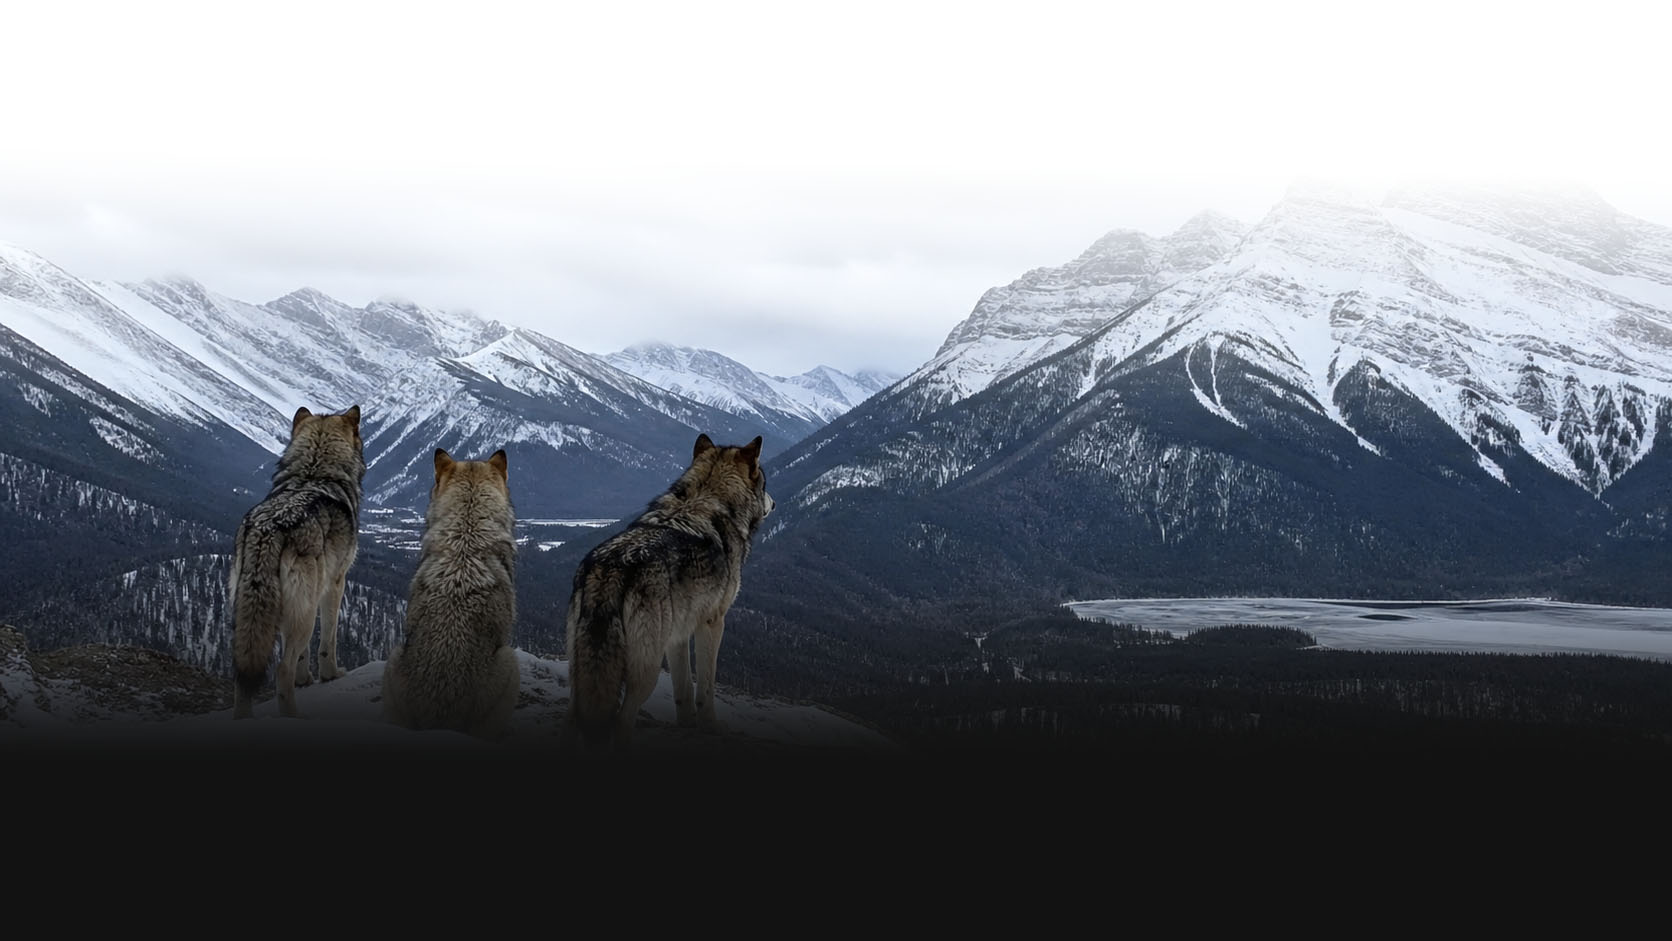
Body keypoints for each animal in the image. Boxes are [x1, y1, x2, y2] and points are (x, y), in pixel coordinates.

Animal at [230, 405, 365, 719]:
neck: (314, 473)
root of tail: (267, 531)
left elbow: (303, 658)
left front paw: (305, 681)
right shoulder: (336, 585)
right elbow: (328, 641)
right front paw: (330, 675)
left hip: (249, 615)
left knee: (243, 673)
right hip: (303, 614)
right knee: (281, 669)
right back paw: (293, 715)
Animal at [562, 433, 773, 751]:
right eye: (766, 484)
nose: (774, 502)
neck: (706, 498)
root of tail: (609, 571)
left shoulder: (678, 635)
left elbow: (683, 689)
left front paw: (686, 725)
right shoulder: (713, 623)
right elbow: (705, 689)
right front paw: (710, 727)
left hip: (580, 675)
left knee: (577, 720)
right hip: (645, 671)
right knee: (622, 720)